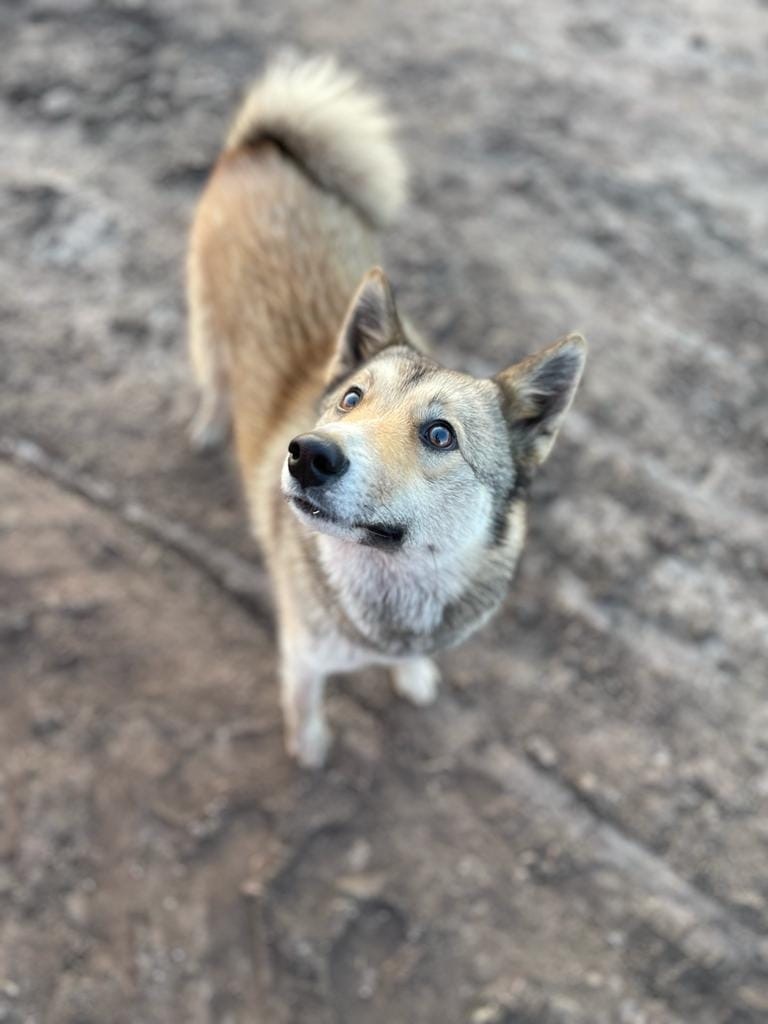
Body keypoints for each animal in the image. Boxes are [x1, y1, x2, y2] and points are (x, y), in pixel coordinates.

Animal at [188, 54, 589, 761]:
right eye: (351, 399)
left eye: (440, 434)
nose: (308, 455)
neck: (389, 584)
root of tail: (264, 146)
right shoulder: (304, 654)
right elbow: (304, 702)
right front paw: (310, 747)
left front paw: (414, 676)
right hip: (207, 328)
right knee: (213, 377)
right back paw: (210, 424)